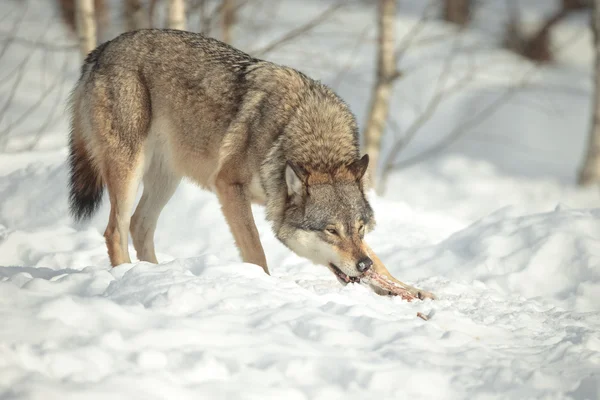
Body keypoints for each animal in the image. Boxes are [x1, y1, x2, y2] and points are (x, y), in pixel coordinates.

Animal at [67, 28, 404, 290]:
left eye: (359, 229)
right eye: (331, 231)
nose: (361, 265)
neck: (313, 138)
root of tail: (101, 49)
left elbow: (382, 261)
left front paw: (407, 290)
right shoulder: (229, 186)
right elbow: (256, 251)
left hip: (167, 178)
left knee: (139, 226)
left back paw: (156, 275)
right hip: (130, 170)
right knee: (115, 230)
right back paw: (127, 275)